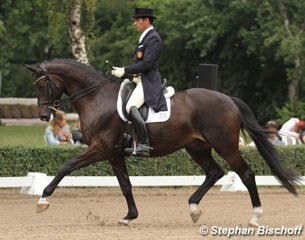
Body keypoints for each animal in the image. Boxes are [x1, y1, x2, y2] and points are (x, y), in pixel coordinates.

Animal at [25, 58, 296, 227]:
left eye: (43, 85)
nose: (44, 116)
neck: (96, 98)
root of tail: (229, 99)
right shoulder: (114, 154)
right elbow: (125, 185)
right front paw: (129, 216)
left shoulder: (100, 148)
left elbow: (66, 166)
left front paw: (42, 200)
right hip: (197, 147)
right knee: (214, 172)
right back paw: (194, 209)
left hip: (225, 146)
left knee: (246, 174)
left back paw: (255, 217)